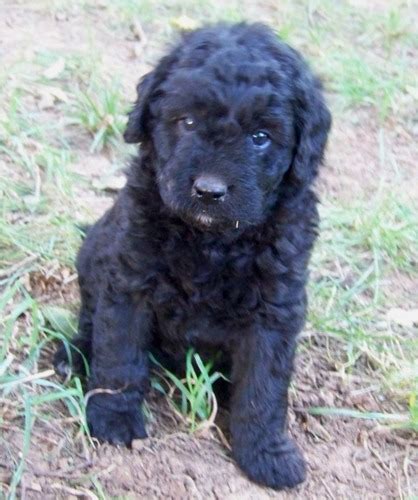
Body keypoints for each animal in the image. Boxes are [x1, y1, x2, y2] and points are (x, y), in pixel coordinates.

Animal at [54, 22, 330, 488]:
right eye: (187, 121)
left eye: (260, 138)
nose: (209, 190)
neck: (212, 241)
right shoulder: (130, 282)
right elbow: (119, 354)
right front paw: (113, 418)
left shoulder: (275, 311)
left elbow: (263, 387)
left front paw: (266, 454)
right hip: (93, 255)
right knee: (90, 322)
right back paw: (71, 358)